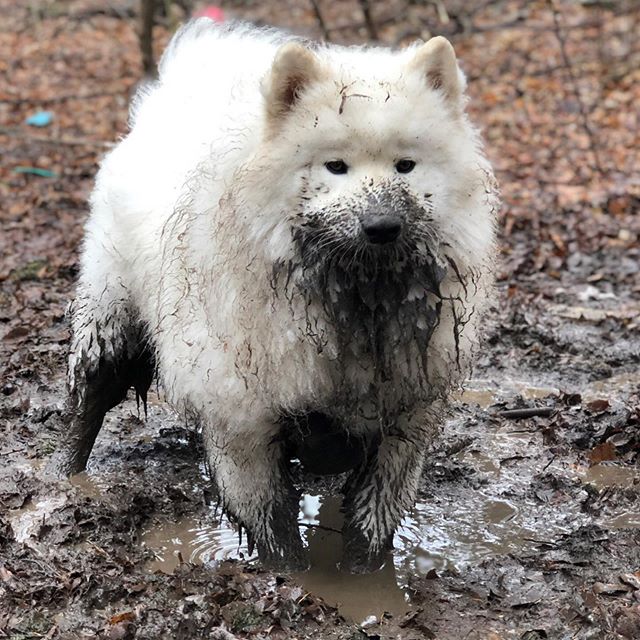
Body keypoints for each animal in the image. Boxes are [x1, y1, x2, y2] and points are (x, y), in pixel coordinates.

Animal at [51, 20, 500, 572]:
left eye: (406, 165)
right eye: (335, 166)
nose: (382, 226)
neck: (353, 302)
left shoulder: (403, 419)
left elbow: (372, 525)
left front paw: (366, 581)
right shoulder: (244, 422)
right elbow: (276, 530)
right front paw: (294, 580)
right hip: (110, 320)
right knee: (88, 404)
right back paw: (66, 479)